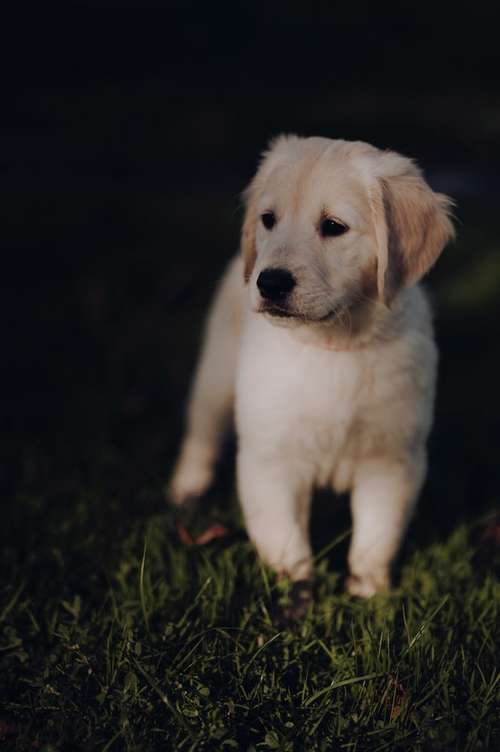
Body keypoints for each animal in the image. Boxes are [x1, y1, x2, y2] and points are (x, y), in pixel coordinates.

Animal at [168, 132, 454, 608]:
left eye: (334, 226)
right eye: (268, 220)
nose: (269, 283)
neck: (334, 345)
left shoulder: (391, 458)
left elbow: (376, 536)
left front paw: (370, 595)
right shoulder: (271, 457)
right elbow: (284, 537)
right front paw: (296, 594)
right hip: (217, 376)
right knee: (201, 432)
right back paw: (186, 489)